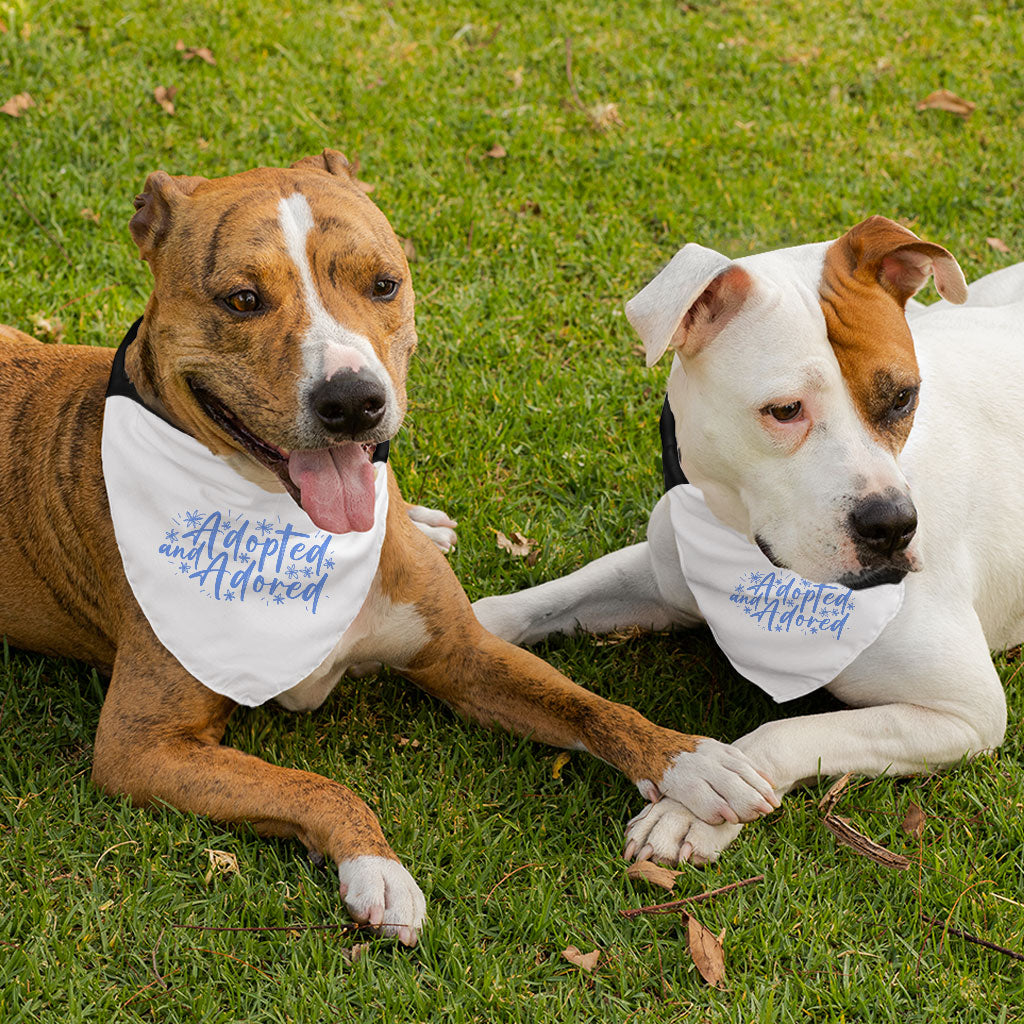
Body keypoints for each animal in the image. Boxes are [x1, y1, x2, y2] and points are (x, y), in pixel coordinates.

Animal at [475, 216, 1019, 864]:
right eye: (784, 410)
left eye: (903, 398)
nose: (892, 524)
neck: (744, 548)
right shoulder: (664, 575)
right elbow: (541, 600)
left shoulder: (965, 712)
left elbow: (786, 732)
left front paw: (690, 807)